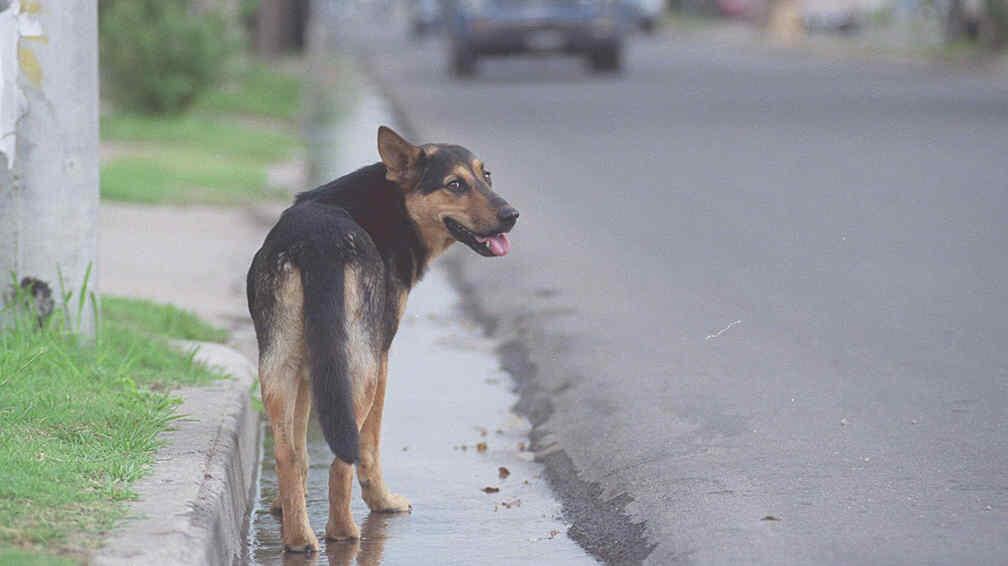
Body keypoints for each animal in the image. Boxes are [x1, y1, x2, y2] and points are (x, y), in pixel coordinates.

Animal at [245, 124, 520, 551]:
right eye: (455, 184)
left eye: (485, 176)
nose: (512, 216)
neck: (395, 205)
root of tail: (317, 241)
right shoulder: (383, 357)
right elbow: (370, 446)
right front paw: (383, 502)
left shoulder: (309, 369)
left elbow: (300, 452)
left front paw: (283, 507)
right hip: (363, 371)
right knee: (345, 458)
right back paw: (343, 532)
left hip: (278, 367)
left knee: (286, 454)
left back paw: (299, 537)